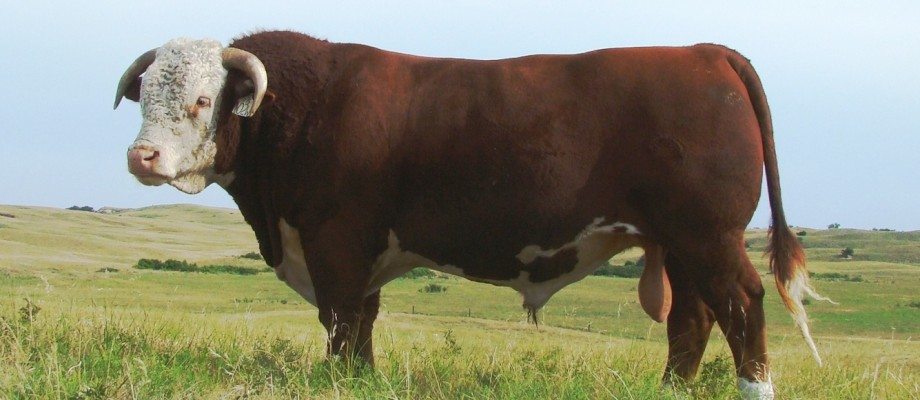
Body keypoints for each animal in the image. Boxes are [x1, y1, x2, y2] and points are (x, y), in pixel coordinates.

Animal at [115, 31, 827, 399]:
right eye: (146, 95)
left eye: (202, 99)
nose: (141, 156)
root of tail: (703, 51)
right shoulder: (362, 250)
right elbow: (362, 322)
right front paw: (364, 378)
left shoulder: (336, 241)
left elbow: (341, 320)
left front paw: (342, 379)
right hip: (678, 243)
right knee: (692, 318)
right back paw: (670, 390)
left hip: (708, 235)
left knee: (740, 304)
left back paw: (753, 387)